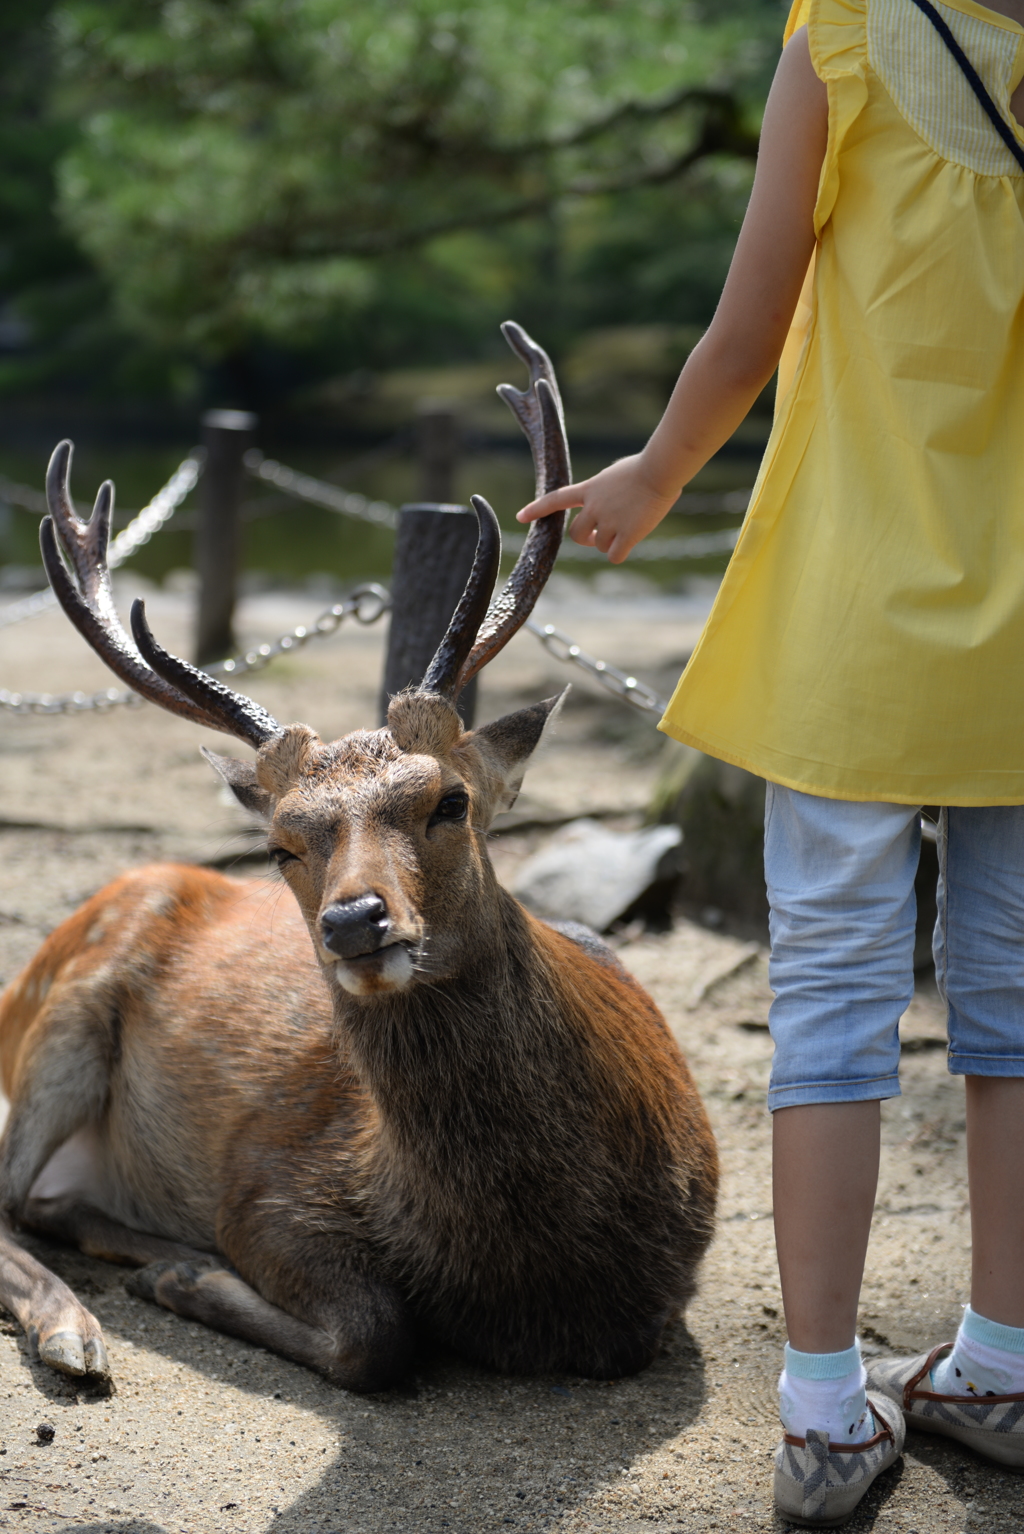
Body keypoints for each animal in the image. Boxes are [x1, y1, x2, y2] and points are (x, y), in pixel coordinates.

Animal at [0, 326, 720, 1405]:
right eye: (279, 843)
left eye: (449, 801)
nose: (354, 923)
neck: (525, 1273)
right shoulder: (264, 1184)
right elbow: (377, 1336)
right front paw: (190, 1277)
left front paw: (177, 1269)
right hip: (59, 1018)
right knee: (8, 1204)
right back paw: (77, 1332)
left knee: (40, 1204)